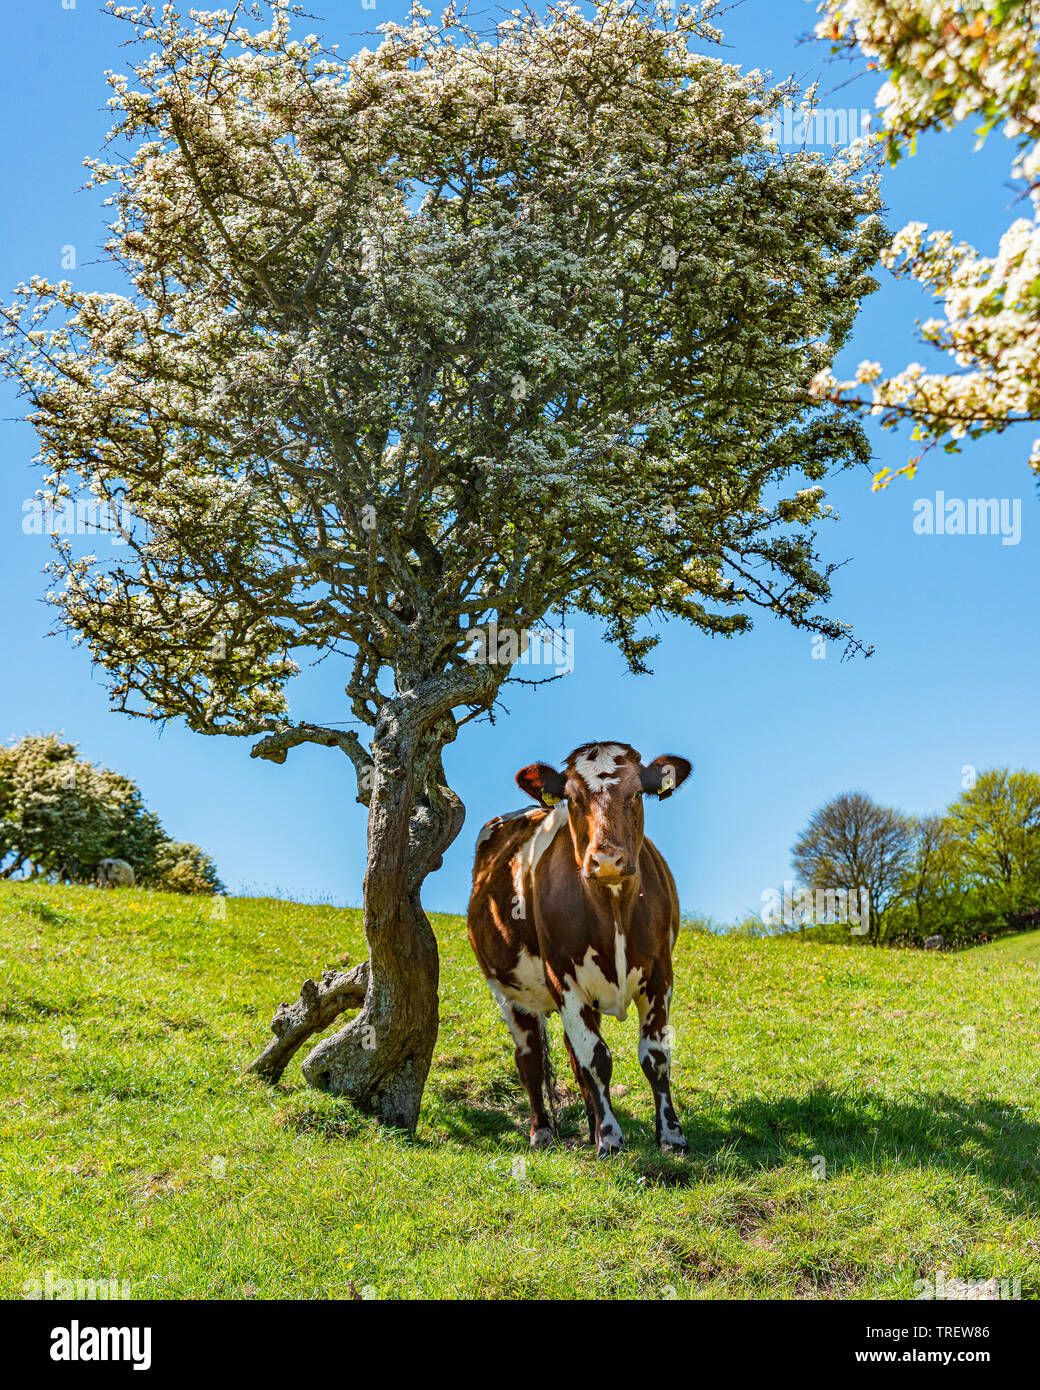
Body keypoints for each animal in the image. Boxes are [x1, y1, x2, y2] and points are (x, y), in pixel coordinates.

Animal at [467, 741, 692, 1157]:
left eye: (637, 793)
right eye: (572, 798)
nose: (606, 860)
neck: (613, 907)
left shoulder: (660, 976)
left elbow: (655, 1056)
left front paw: (671, 1135)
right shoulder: (565, 980)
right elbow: (596, 1059)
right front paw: (611, 1138)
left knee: (572, 1060)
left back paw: (589, 1129)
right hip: (508, 993)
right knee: (531, 1061)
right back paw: (542, 1133)